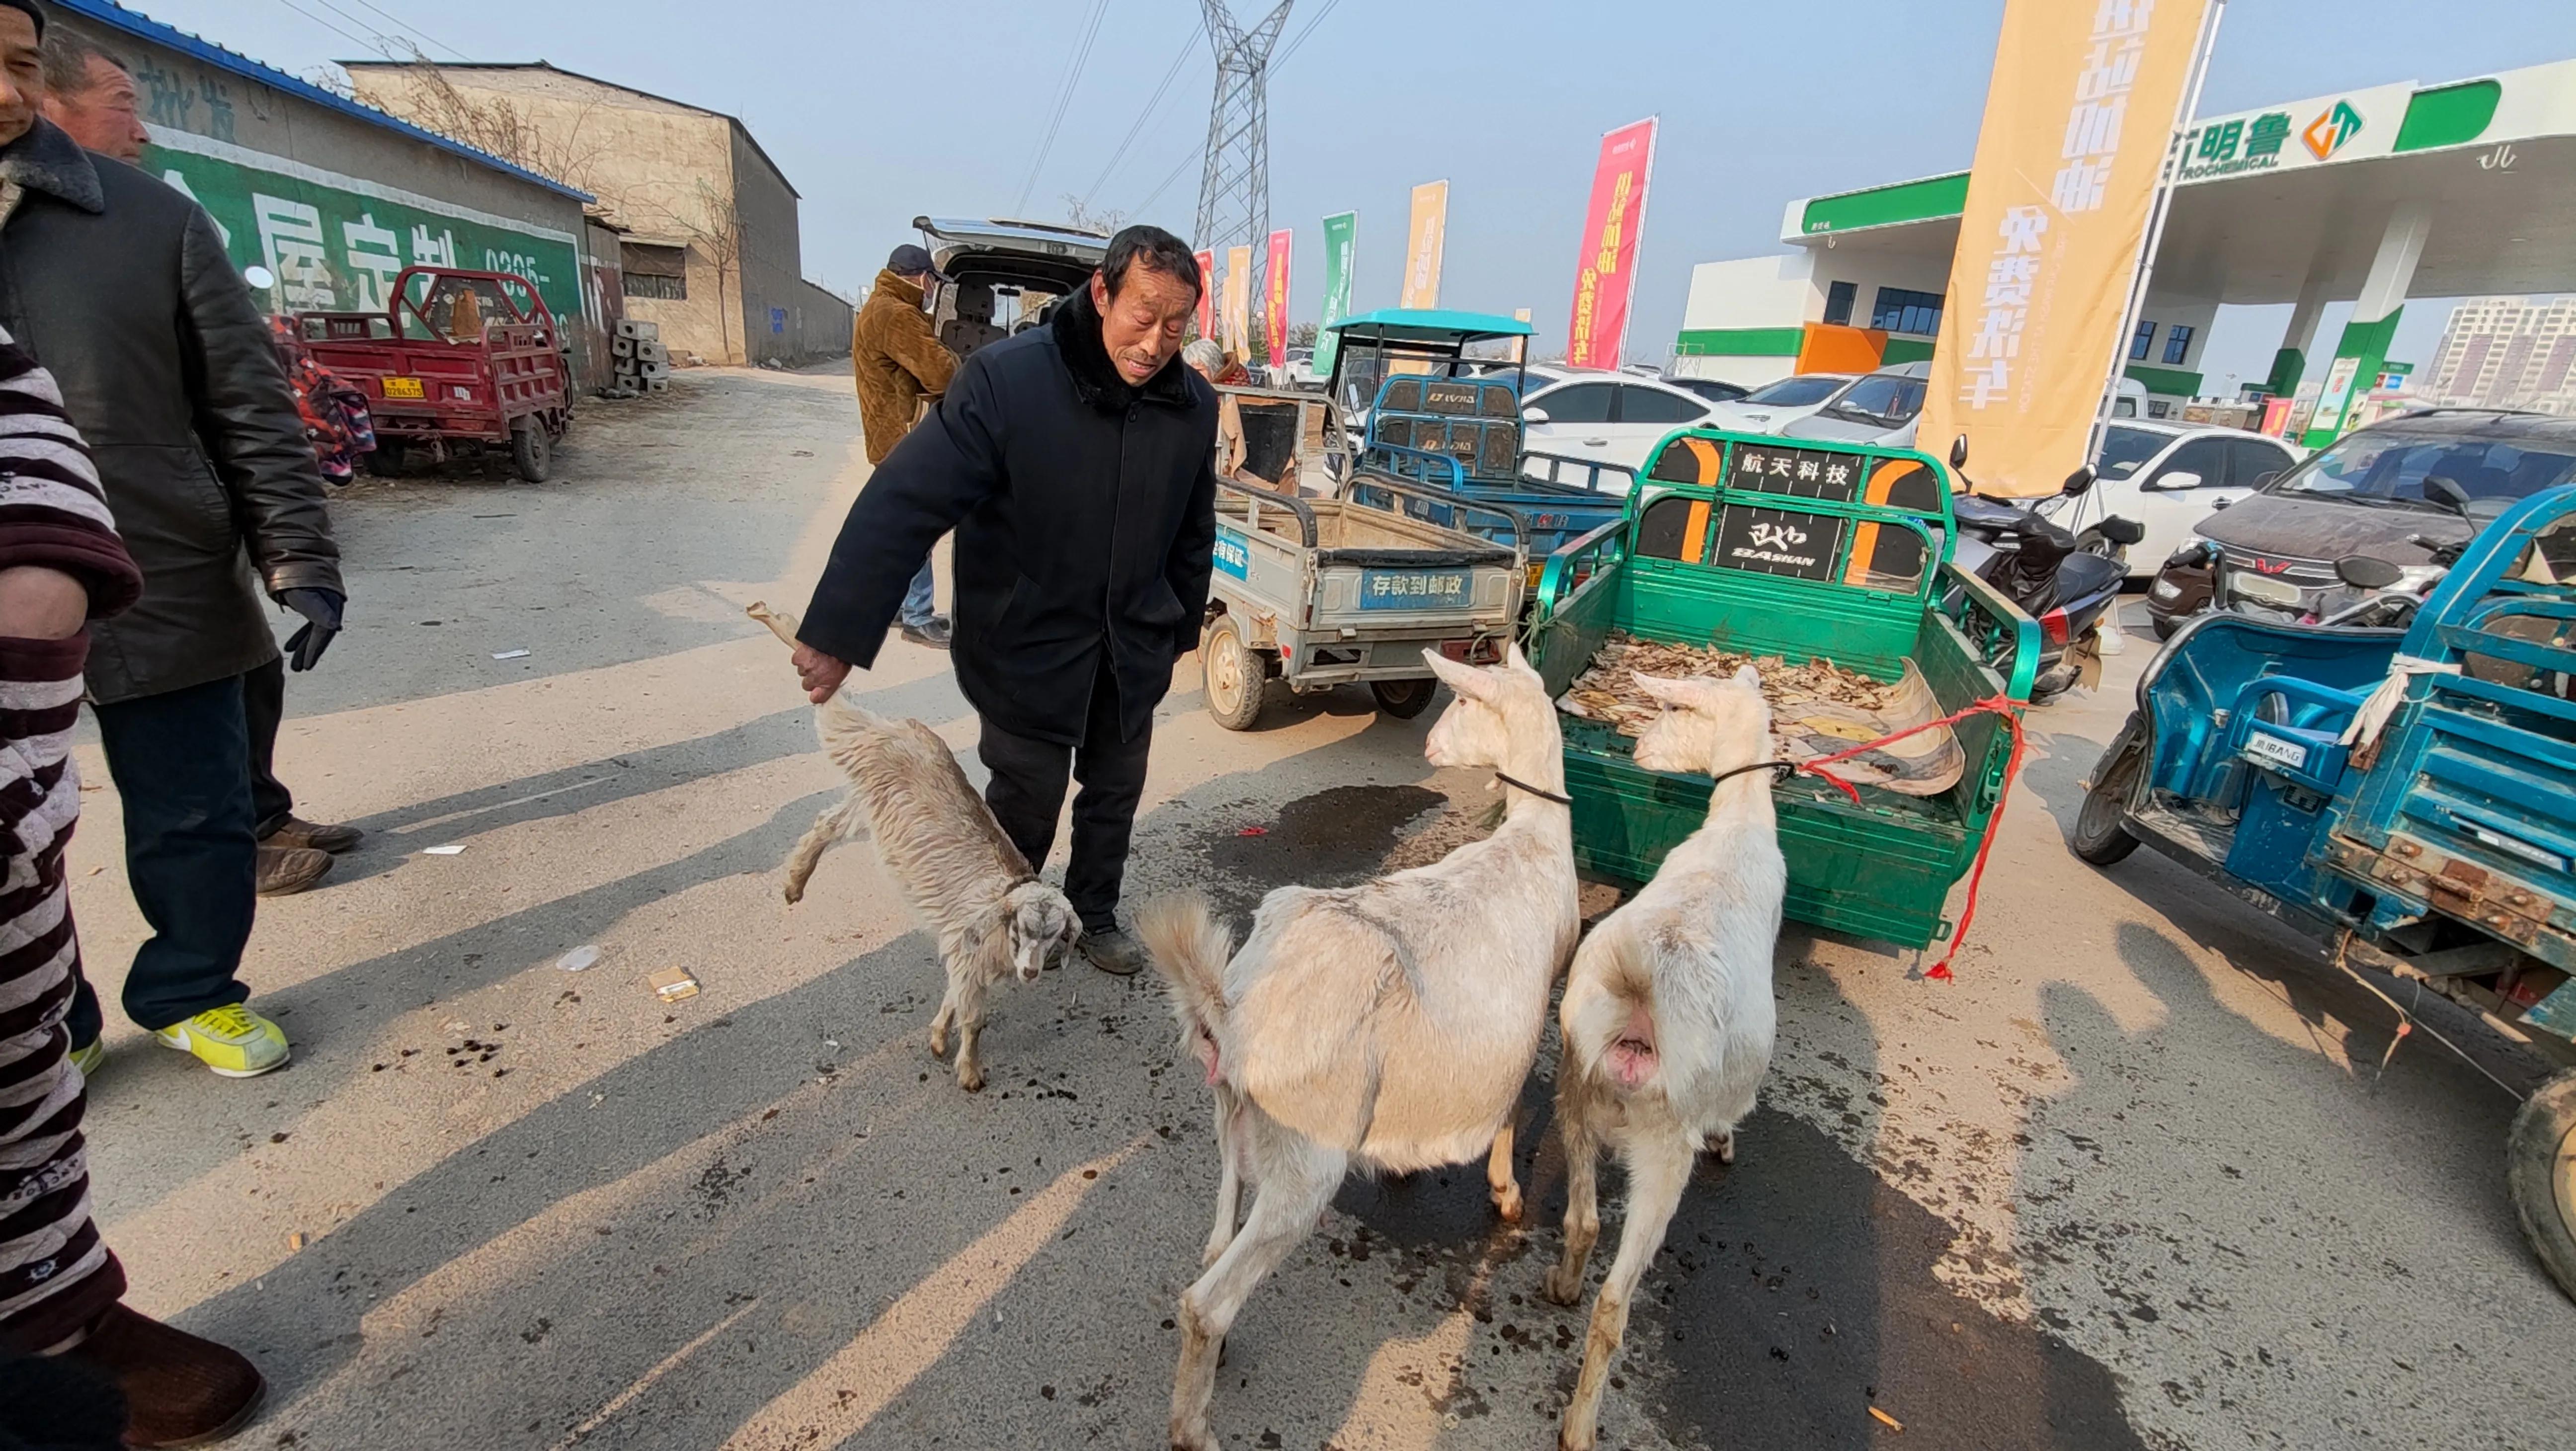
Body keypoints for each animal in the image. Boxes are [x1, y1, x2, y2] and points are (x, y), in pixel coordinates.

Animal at [773, 701, 1076, 1093]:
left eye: (1056, 934)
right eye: (1021, 928)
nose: (1030, 971)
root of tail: (896, 728)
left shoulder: (964, 958)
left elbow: (953, 997)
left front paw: (938, 1038)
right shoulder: (969, 954)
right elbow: (975, 1020)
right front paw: (970, 1073)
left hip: (870, 803)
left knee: (828, 821)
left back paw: (795, 882)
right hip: (873, 791)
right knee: (829, 823)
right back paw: (797, 881)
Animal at [1143, 644, 1576, 1451]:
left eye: (1463, 702)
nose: (1433, 746)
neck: (1530, 842)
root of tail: (1234, 1014)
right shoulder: (1532, 1018)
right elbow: (1509, 1108)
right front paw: (1505, 1193)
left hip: (1235, 1128)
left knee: (1215, 1249)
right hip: (1306, 1159)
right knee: (1206, 1300)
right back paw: (1194, 1428)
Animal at [1535, 670, 1782, 1451]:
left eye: (1675, 708)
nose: (1640, 749)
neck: (1739, 826)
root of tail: (1642, 1004)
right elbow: (1736, 1111)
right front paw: (1729, 1140)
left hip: (1575, 1086)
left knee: (1583, 1221)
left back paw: (1563, 1284)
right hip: (1665, 1148)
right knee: (1615, 1304)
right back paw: (1580, 1427)